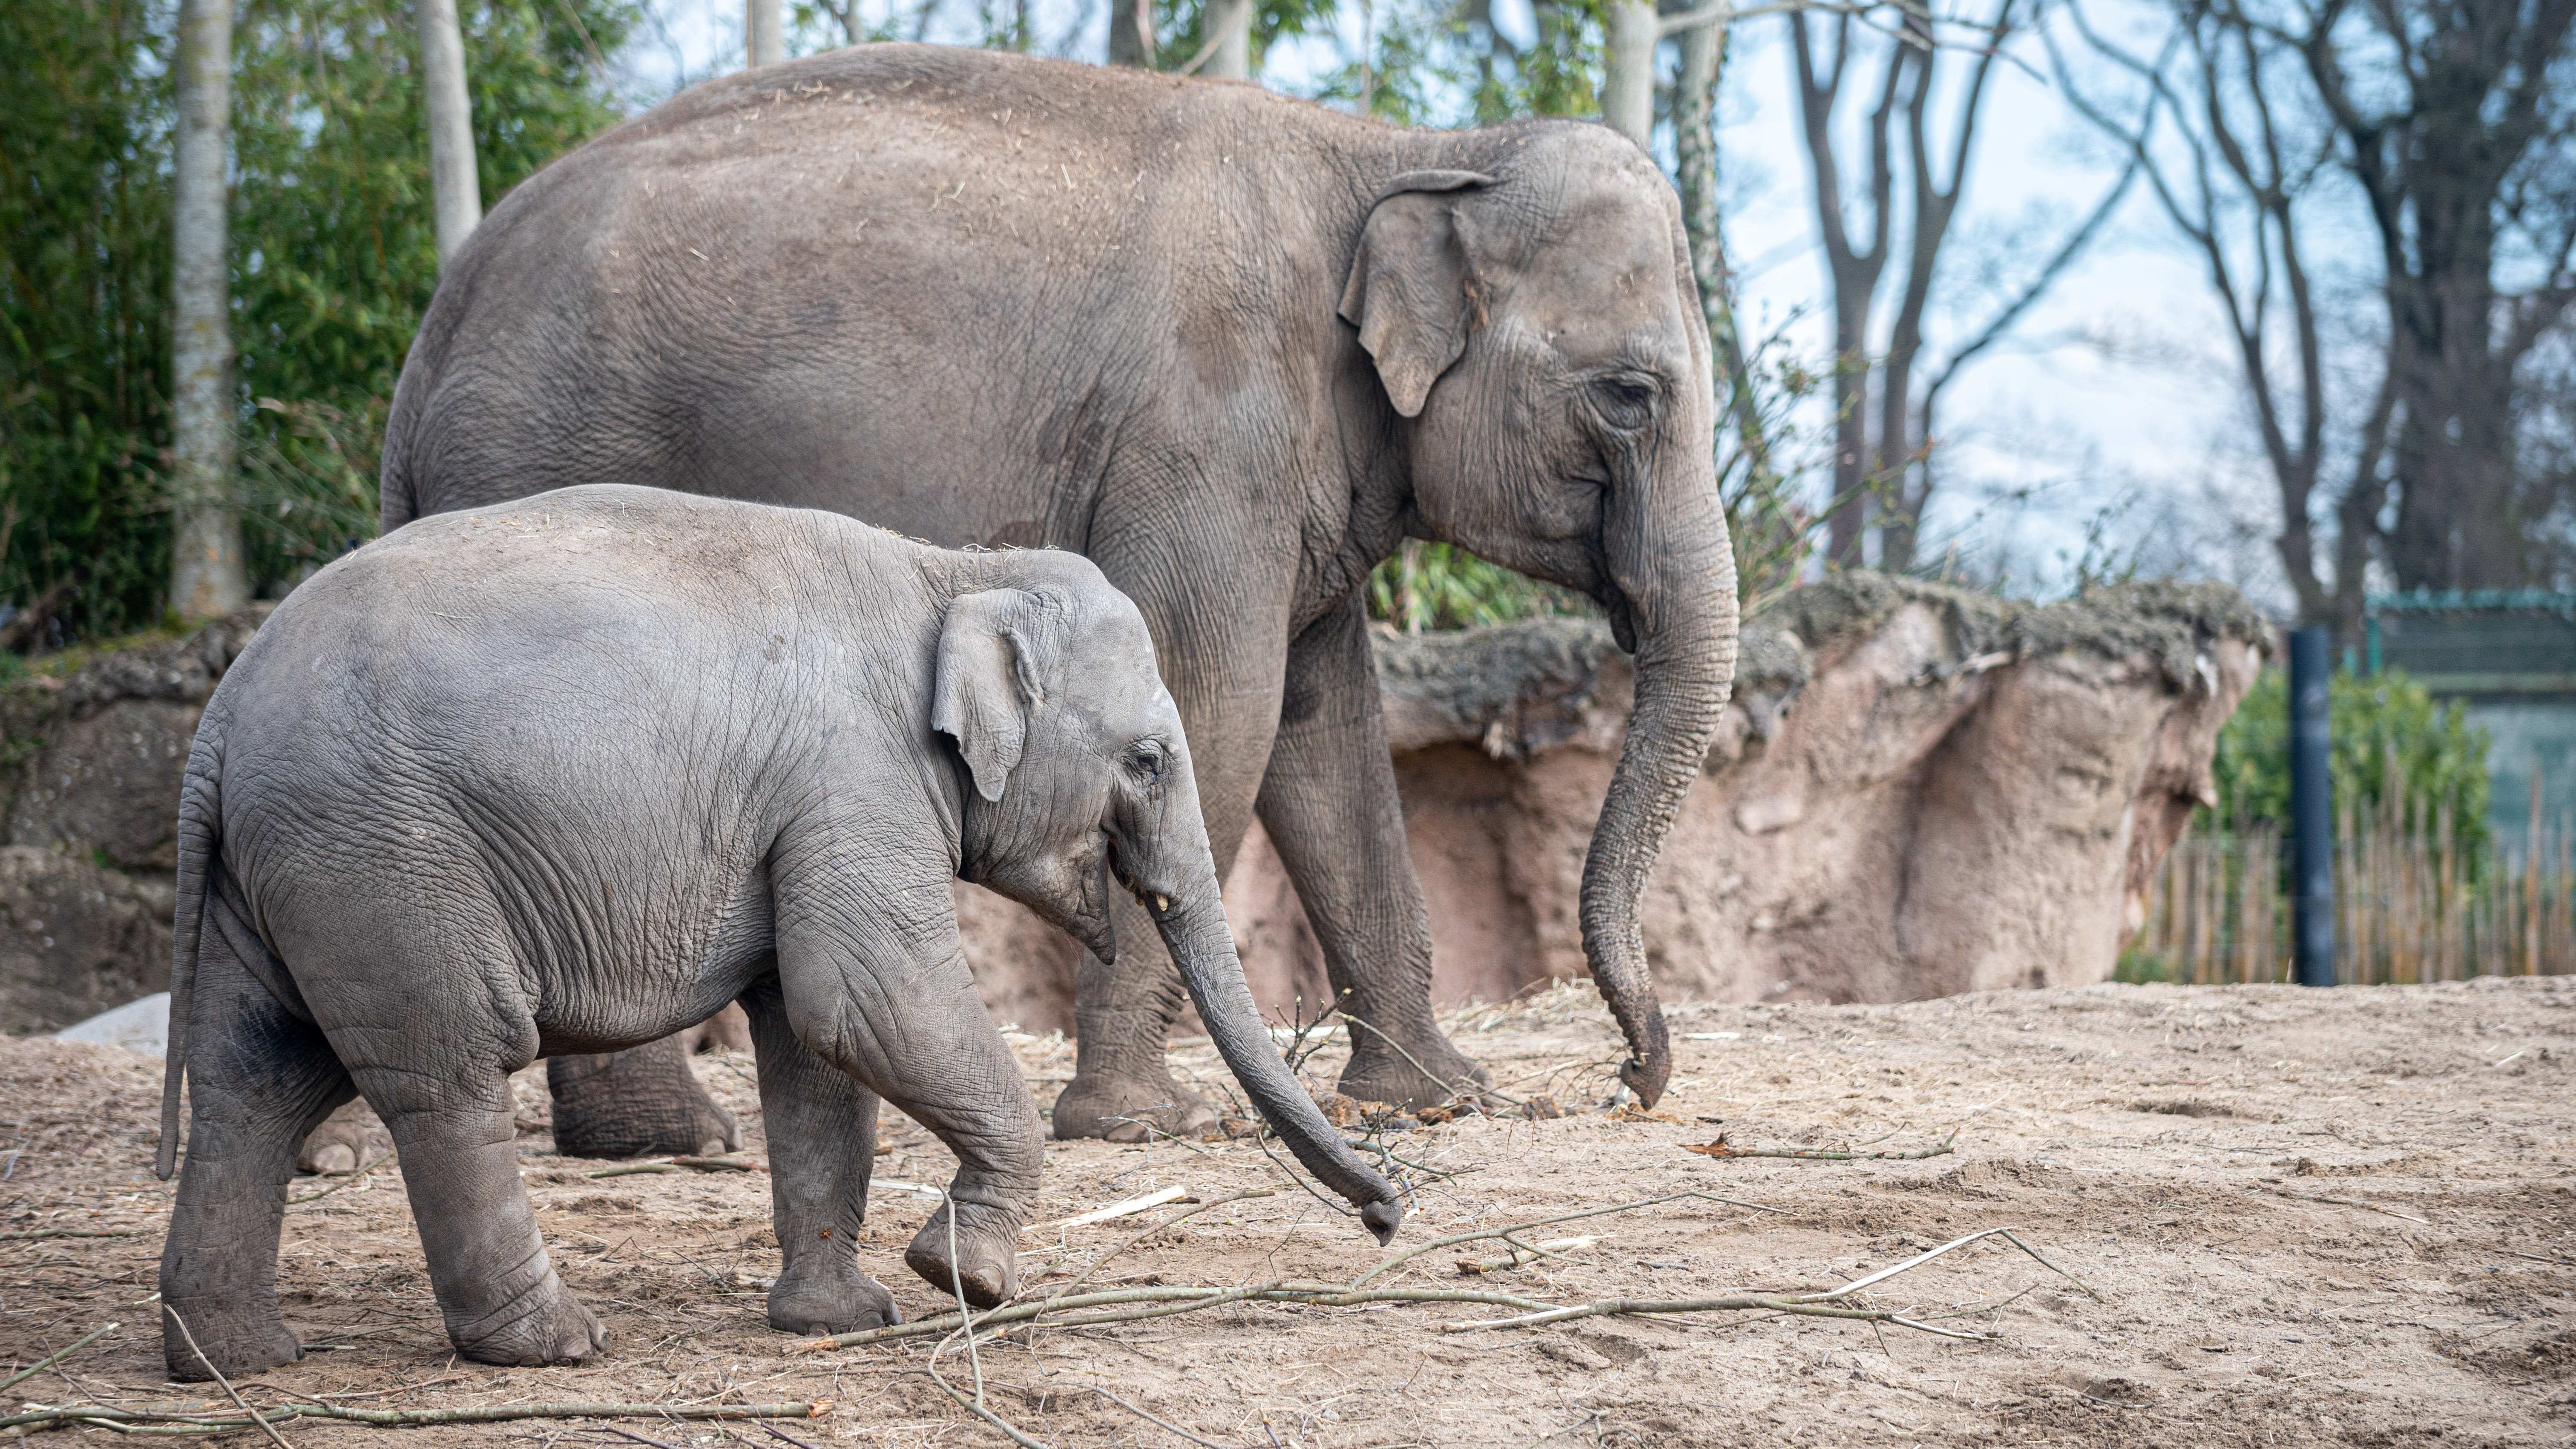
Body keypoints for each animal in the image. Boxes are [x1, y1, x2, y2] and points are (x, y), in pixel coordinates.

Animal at [155, 485, 1412, 1371]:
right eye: (1148, 758)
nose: (1391, 1213)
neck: (956, 571)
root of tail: (217, 725)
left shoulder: (806, 809)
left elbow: (814, 1044)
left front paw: (844, 1322)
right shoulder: (856, 775)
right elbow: (864, 997)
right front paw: (965, 1281)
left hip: (290, 878)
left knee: (254, 1082)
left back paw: (237, 1361)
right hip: (385, 858)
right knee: (449, 1068)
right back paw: (553, 1345)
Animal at [381, 42, 1741, 1139]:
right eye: (1632, 395)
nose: (1633, 1079)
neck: (1405, 153)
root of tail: (437, 325)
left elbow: (1325, 735)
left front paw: (1443, 1100)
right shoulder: (1207, 434)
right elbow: (1219, 706)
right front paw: (1144, 1126)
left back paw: (655, 1141)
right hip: (544, 468)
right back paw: (674, 1139)